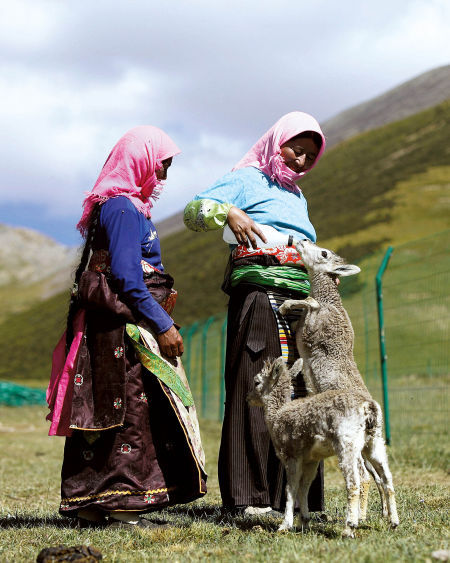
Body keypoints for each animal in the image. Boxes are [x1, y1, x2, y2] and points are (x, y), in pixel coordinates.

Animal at [278, 238, 400, 532]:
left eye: (323, 253)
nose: (301, 241)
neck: (329, 302)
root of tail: (372, 409)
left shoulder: (315, 323)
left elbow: (308, 302)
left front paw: (285, 306)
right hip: (369, 444)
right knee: (379, 477)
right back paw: (386, 517)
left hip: (353, 443)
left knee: (363, 477)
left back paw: (358, 520)